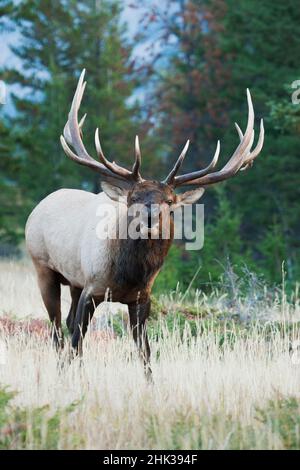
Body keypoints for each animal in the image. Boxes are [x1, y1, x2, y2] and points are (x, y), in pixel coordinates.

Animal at [26, 70, 264, 378]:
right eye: (133, 198)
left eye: (170, 200)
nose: (150, 217)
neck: (128, 274)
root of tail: (41, 204)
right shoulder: (92, 287)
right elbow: (78, 341)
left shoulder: (142, 298)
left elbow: (145, 353)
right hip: (43, 266)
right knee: (56, 329)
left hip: (74, 280)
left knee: (64, 323)